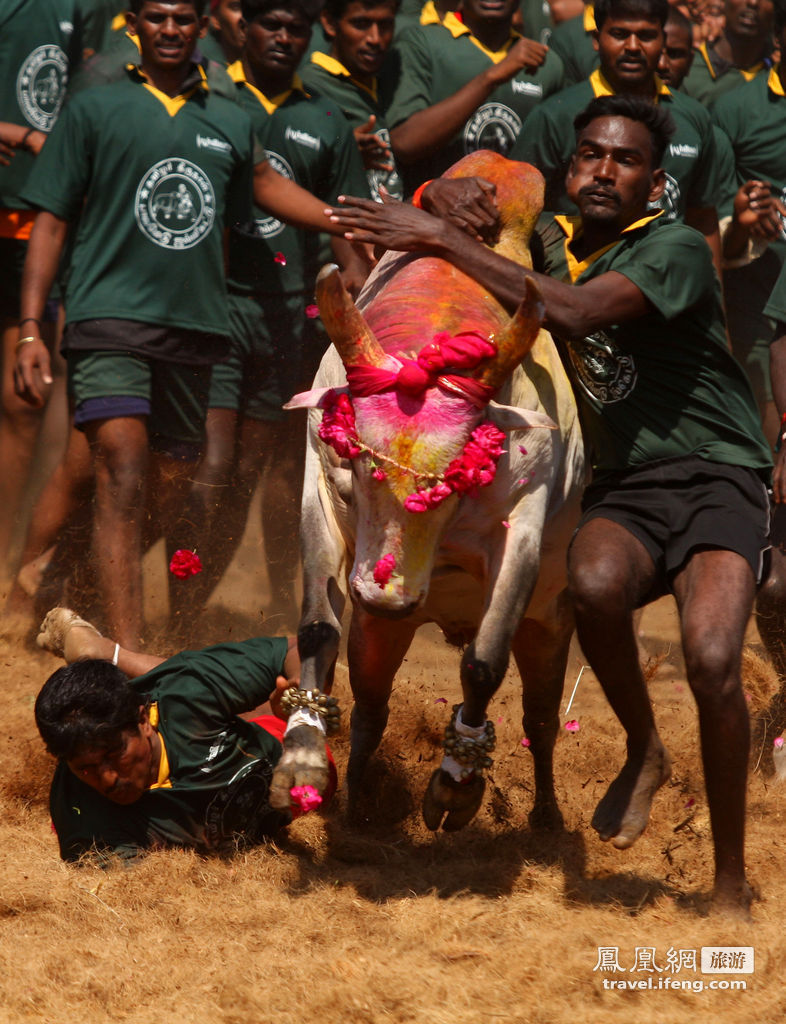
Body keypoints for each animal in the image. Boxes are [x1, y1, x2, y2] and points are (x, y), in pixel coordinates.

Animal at [268, 155, 581, 835]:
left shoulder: (524, 527)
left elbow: (484, 663)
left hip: (548, 619)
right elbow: (317, 627)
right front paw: (301, 760)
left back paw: (545, 815)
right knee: (372, 707)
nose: (385, 595)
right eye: (359, 469)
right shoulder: (318, 493)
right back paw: (355, 805)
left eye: (457, 479)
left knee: (541, 722)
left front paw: (456, 787)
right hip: (385, 629)